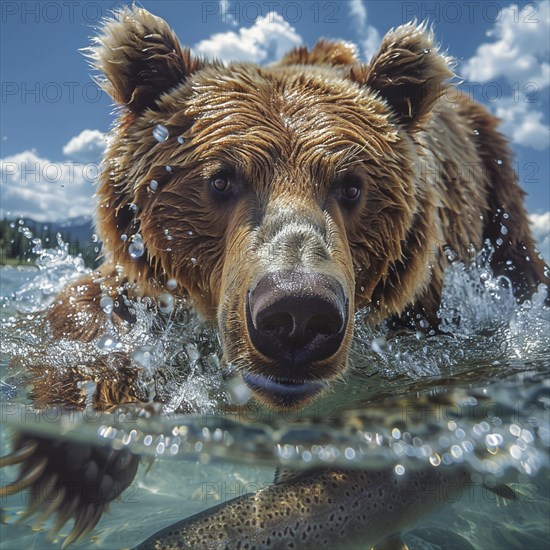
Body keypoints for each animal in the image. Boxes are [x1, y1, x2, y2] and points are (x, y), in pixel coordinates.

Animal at [2, 6, 548, 548]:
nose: (297, 313)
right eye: (221, 179)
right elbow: (89, 306)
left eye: (352, 186)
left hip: (500, 202)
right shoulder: (151, 281)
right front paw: (80, 457)